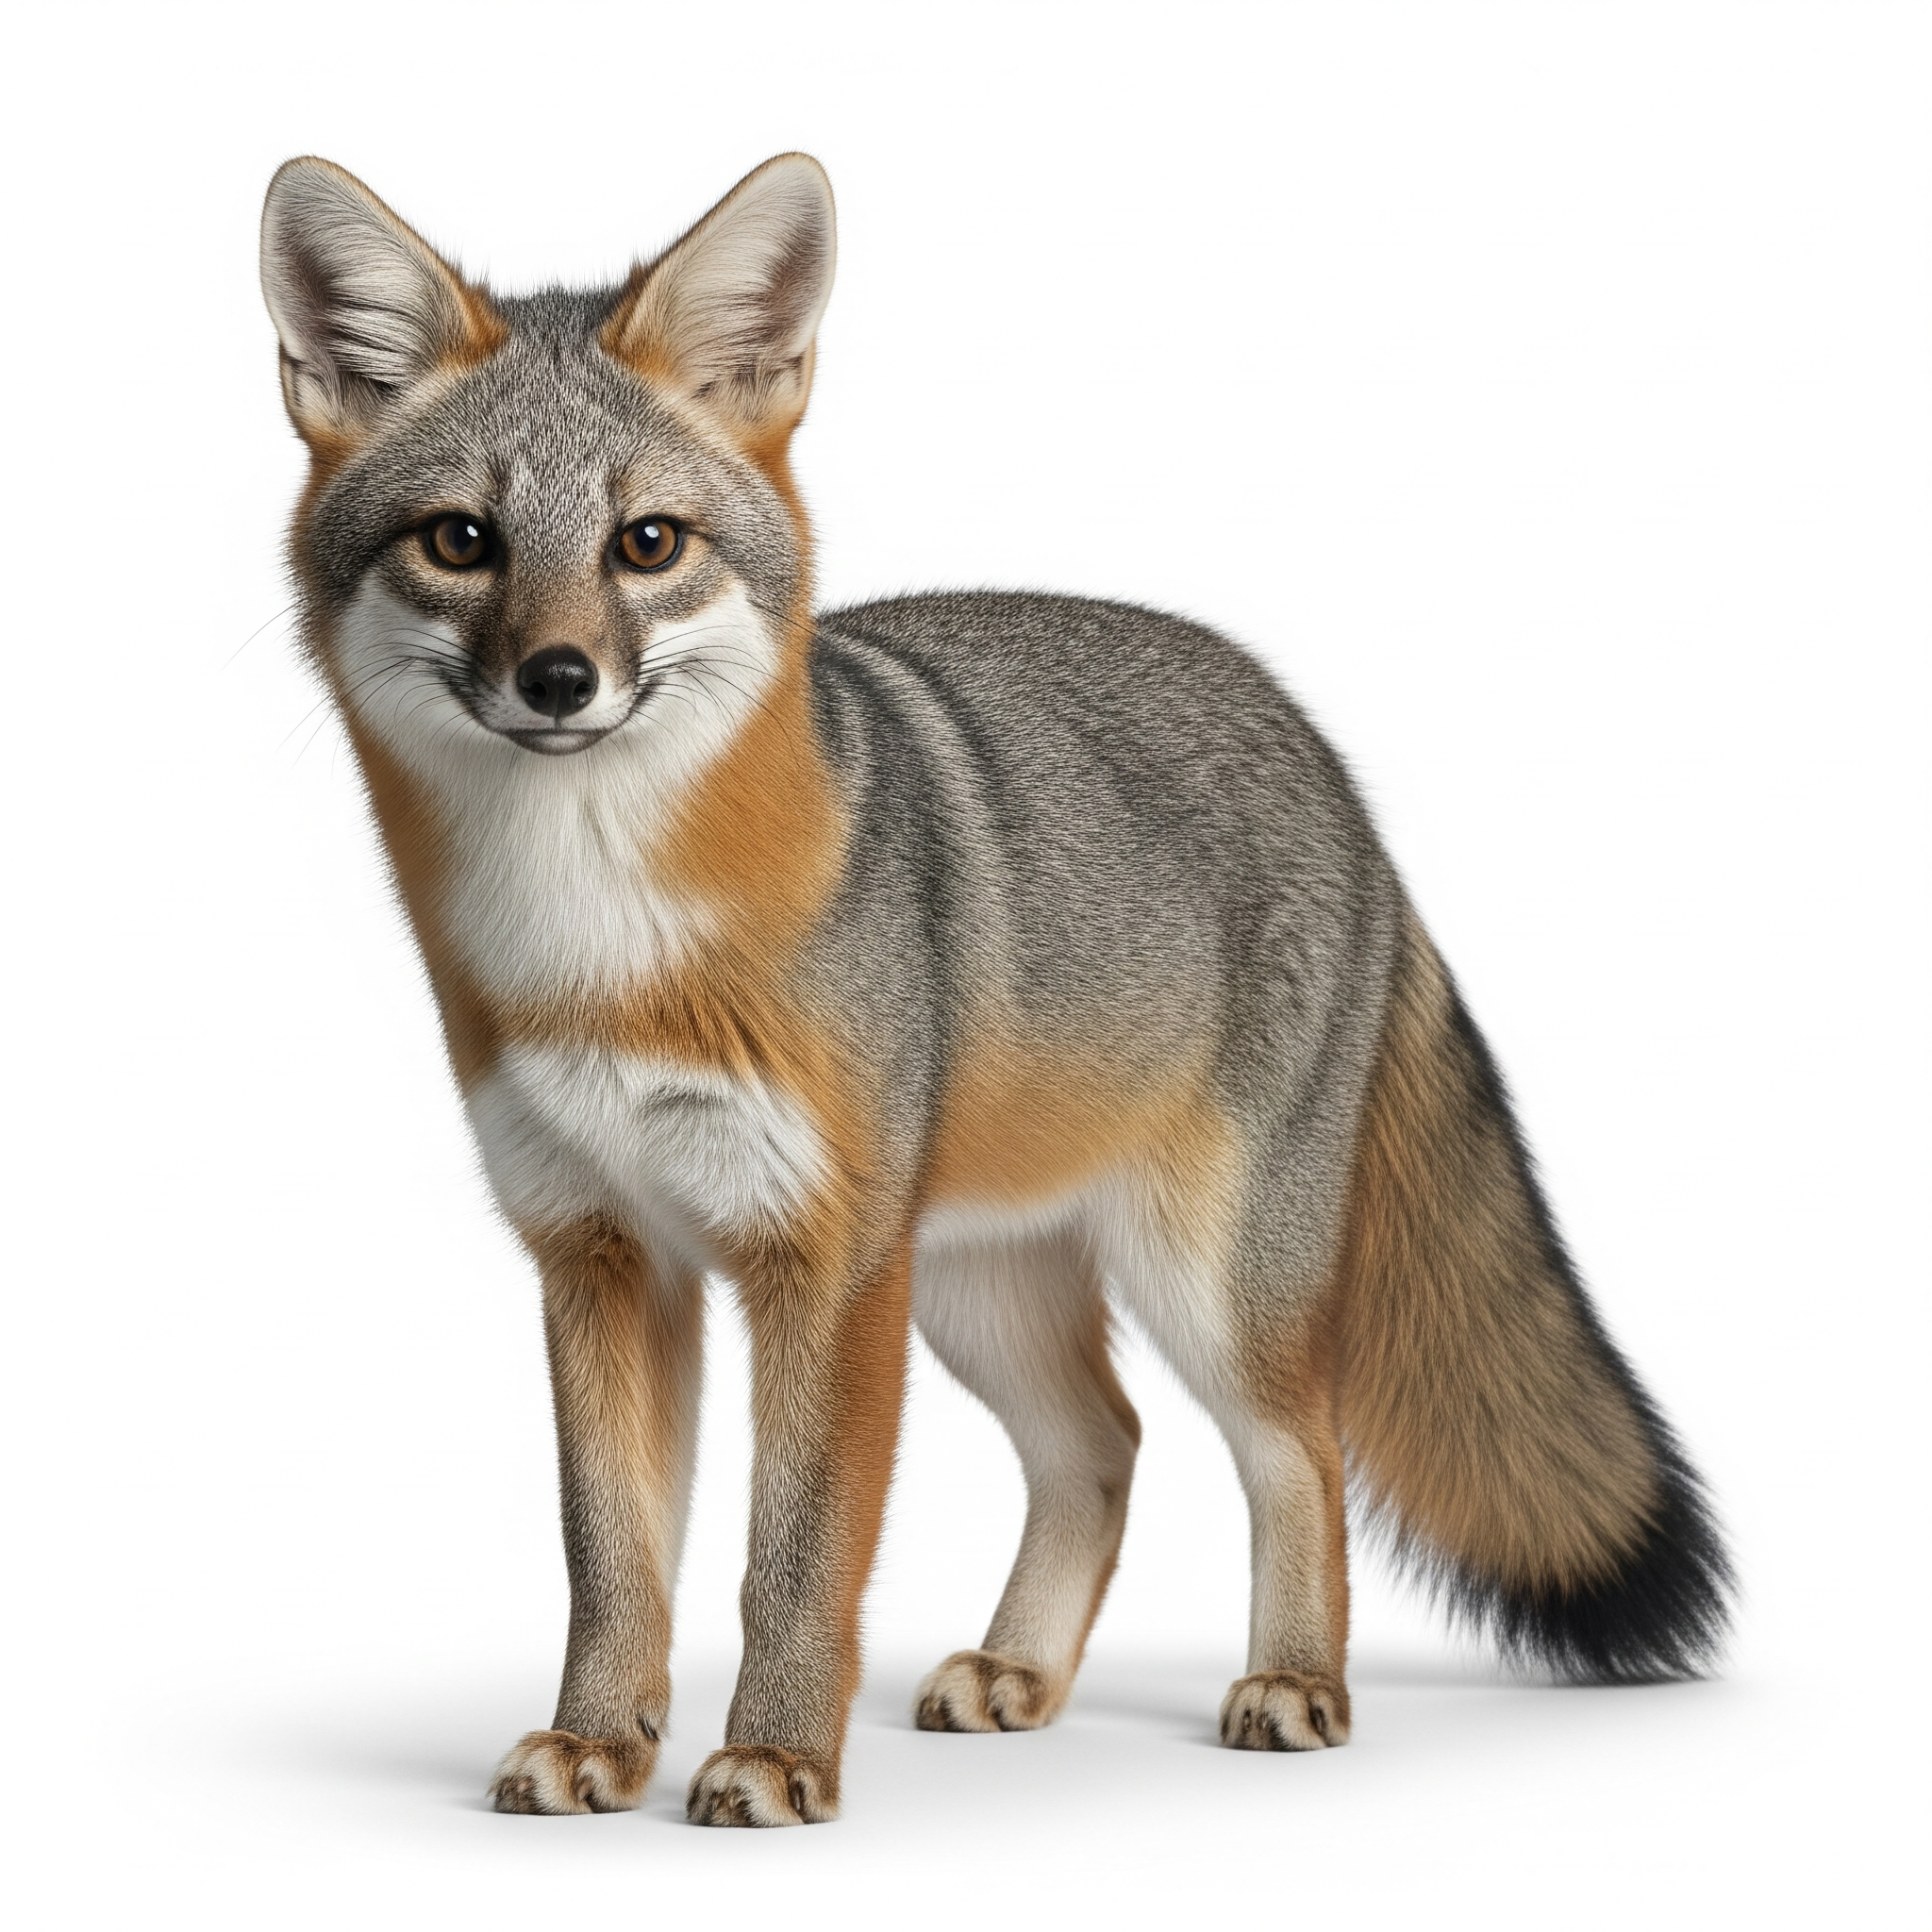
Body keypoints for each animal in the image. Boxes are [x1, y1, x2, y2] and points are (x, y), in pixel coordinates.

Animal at [259, 152, 1732, 1827]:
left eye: (647, 543)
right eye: (461, 541)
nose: (560, 680)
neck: (599, 954)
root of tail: (1313, 740)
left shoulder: (825, 1265)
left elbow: (794, 1557)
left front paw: (776, 1754)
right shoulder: (598, 1254)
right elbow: (611, 1556)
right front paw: (601, 1740)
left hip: (1196, 1283)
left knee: (1300, 1447)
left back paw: (1297, 1680)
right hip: (978, 1288)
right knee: (1105, 1441)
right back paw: (1023, 1669)